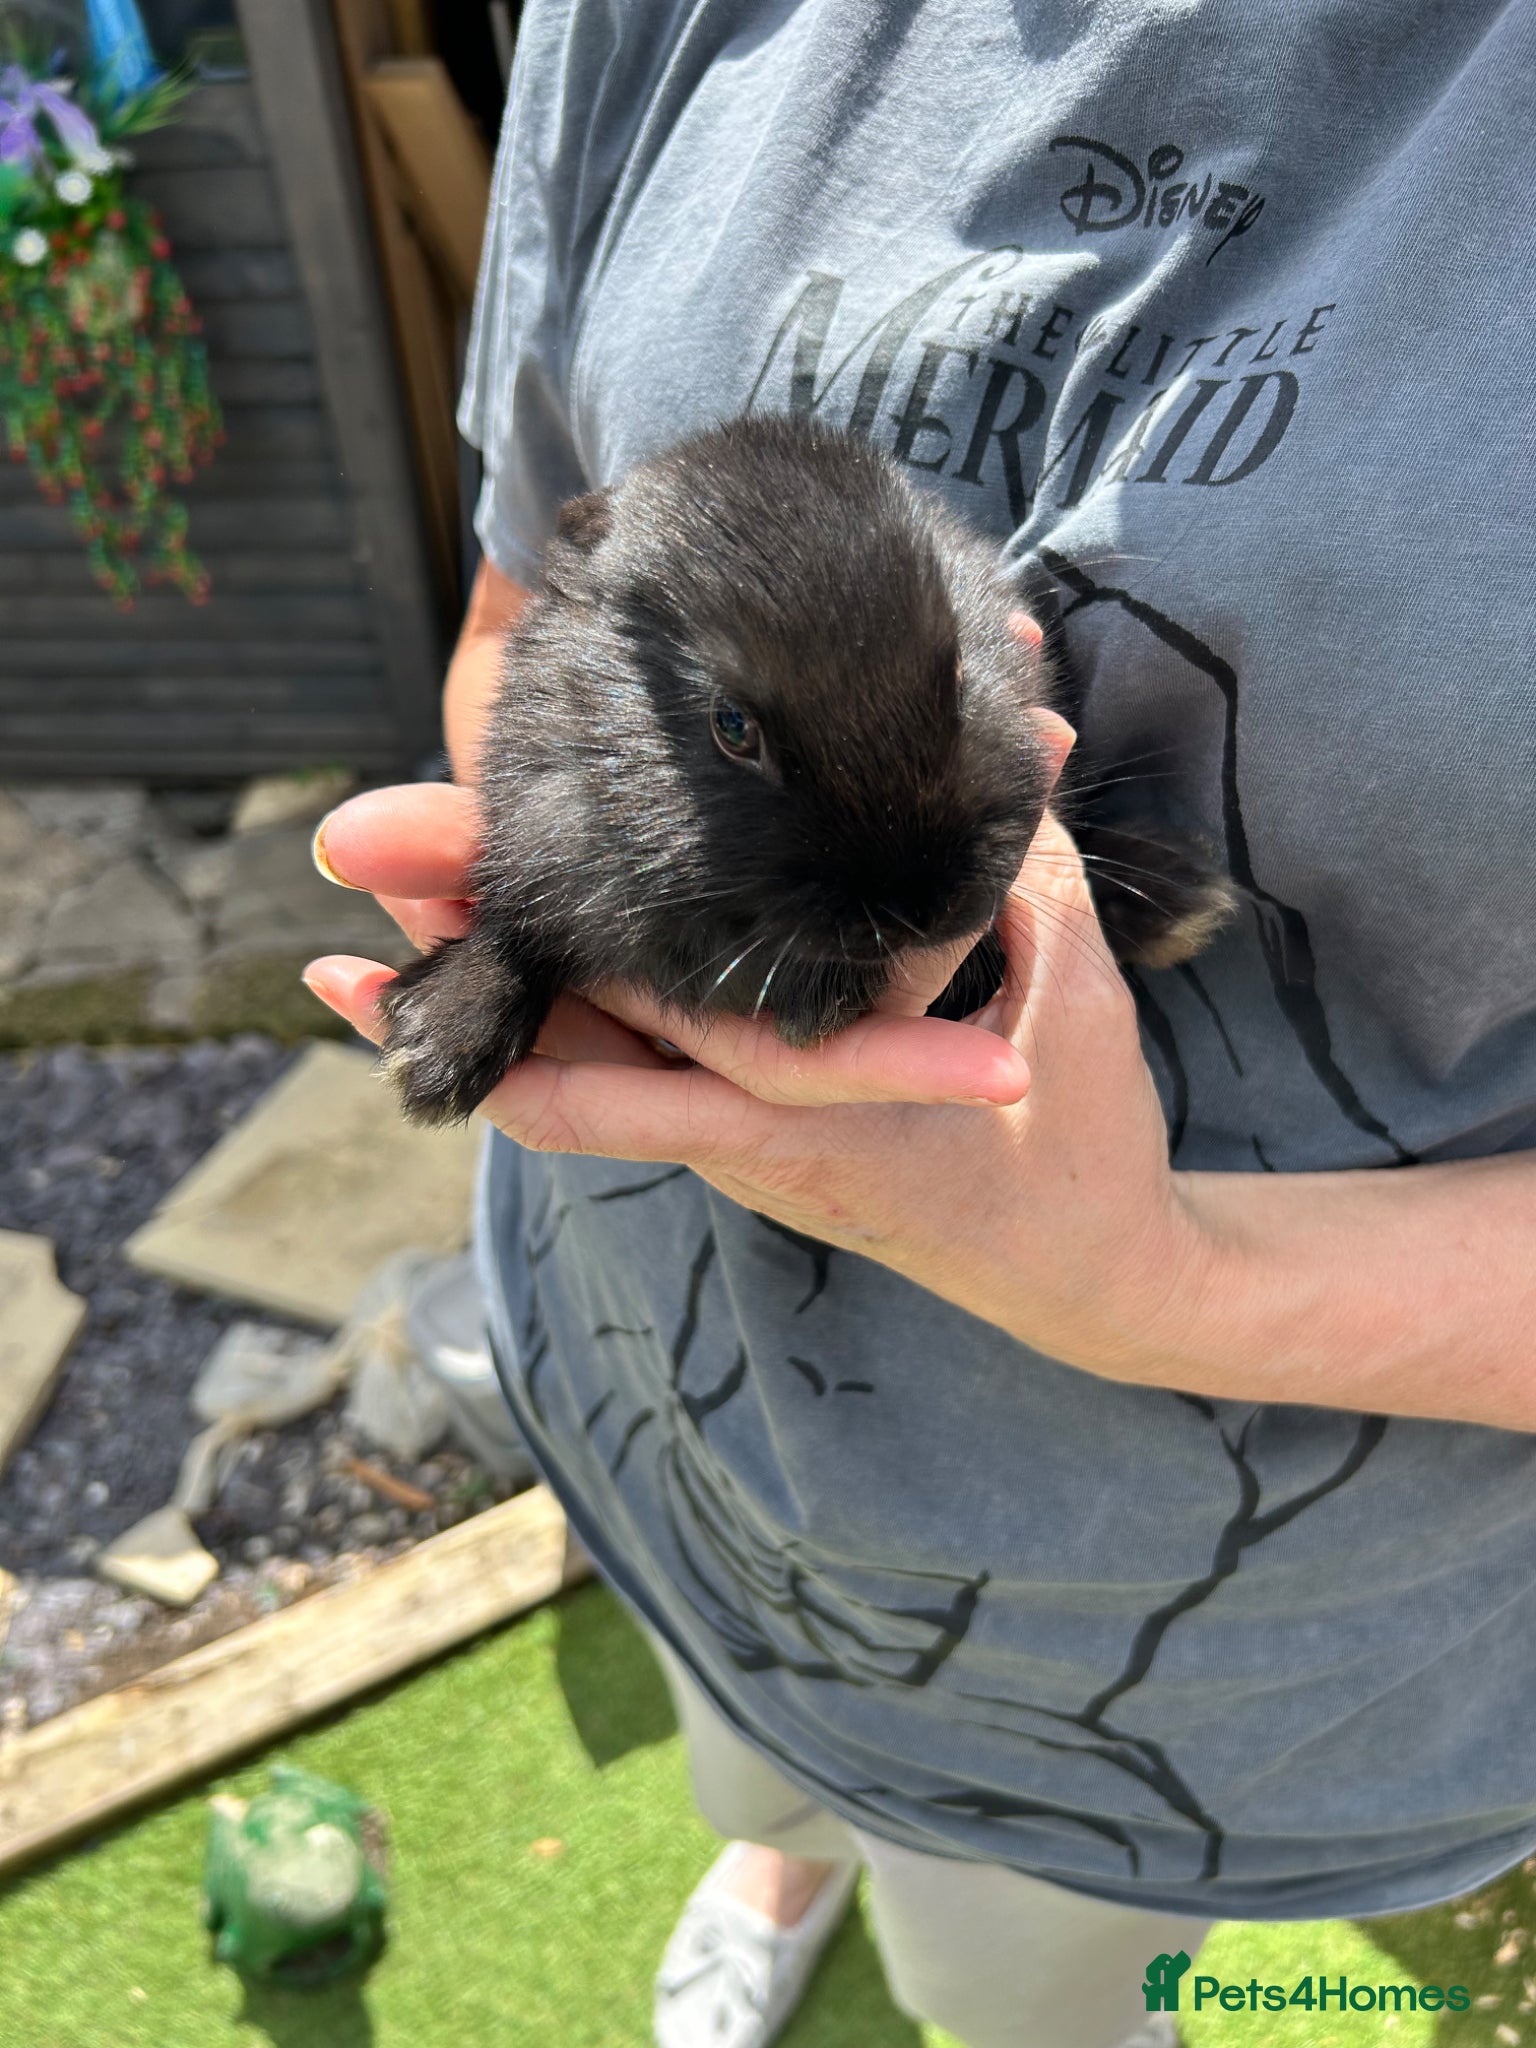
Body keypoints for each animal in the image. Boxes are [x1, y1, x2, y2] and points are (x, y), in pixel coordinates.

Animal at [378, 414, 1234, 1127]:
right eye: (731, 727)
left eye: (961, 670)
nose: (921, 909)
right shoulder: (541, 828)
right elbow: (517, 925)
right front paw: (434, 1051)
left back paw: (1181, 897)